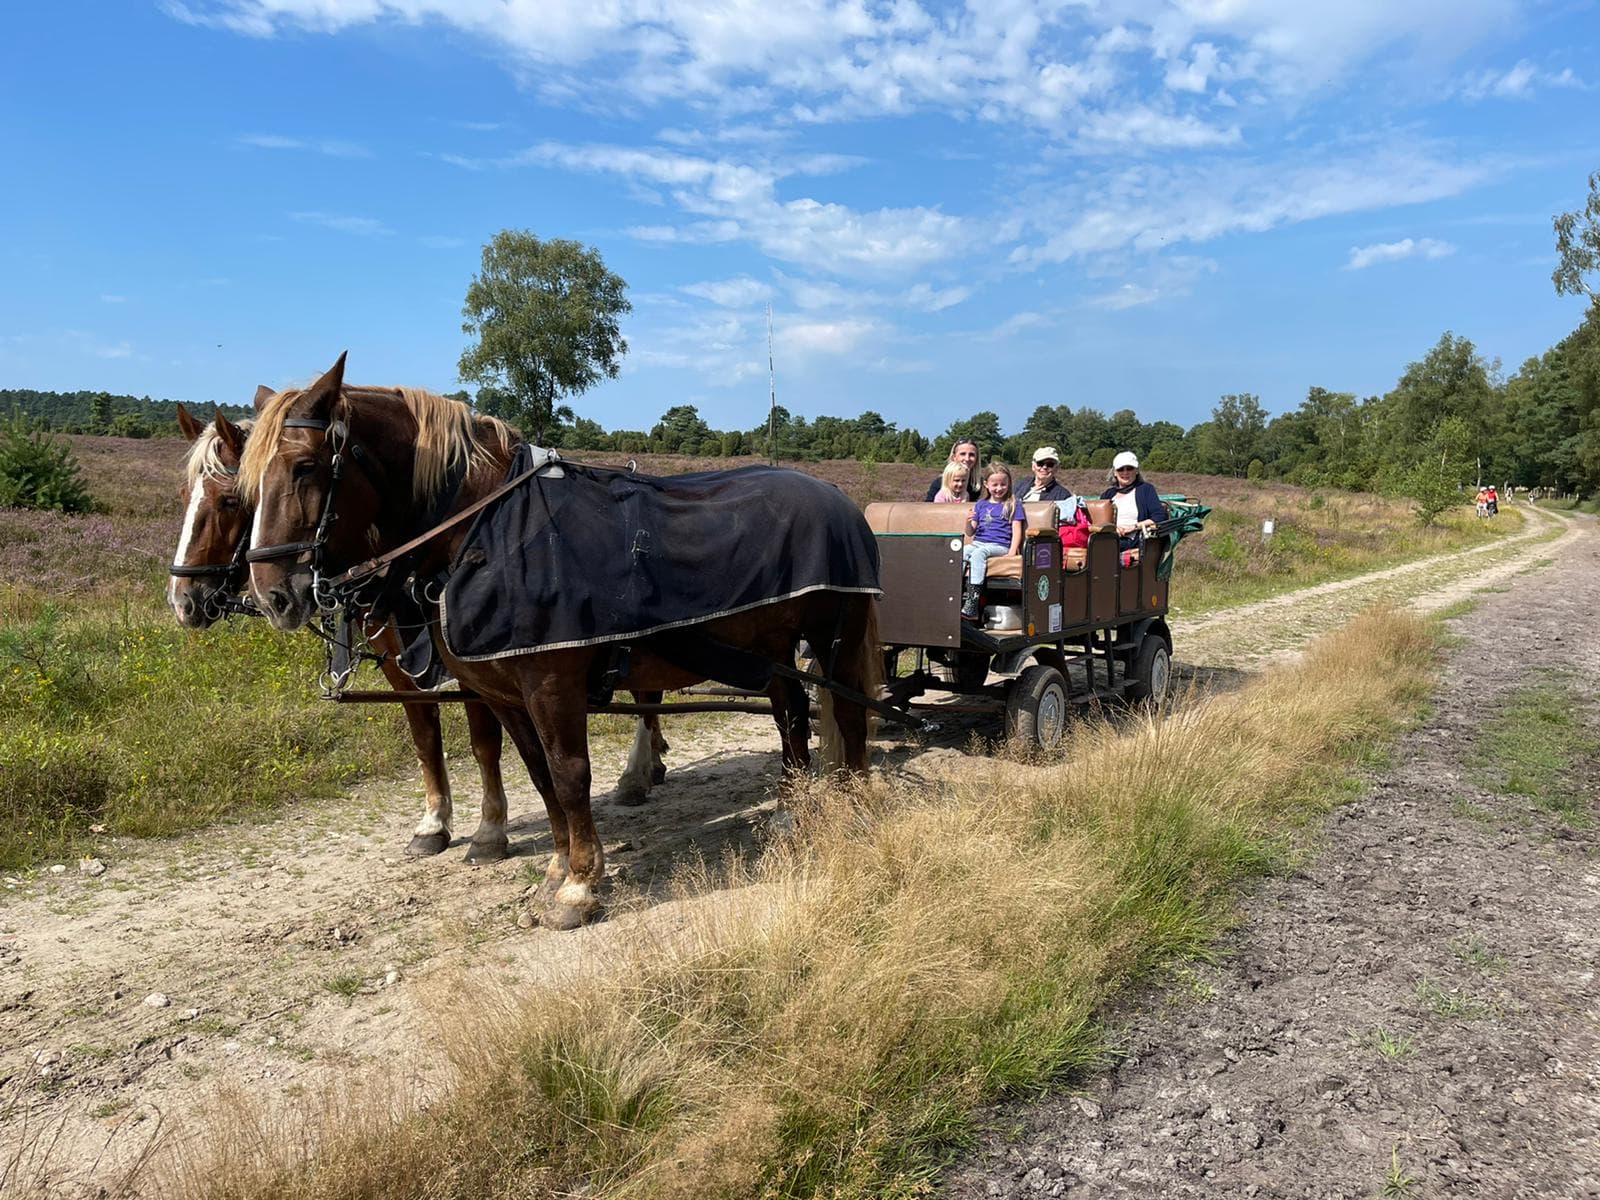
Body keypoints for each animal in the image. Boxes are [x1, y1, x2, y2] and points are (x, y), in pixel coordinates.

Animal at [243, 352, 883, 934]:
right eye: (246, 487)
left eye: (304, 467)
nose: (273, 595)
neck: (491, 531)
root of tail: (840, 500)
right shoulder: (504, 693)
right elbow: (538, 772)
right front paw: (555, 867)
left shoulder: (553, 685)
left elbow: (570, 773)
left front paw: (578, 887)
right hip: (773, 646)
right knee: (791, 713)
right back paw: (791, 810)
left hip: (836, 636)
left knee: (849, 715)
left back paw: (855, 804)